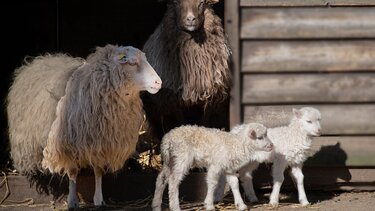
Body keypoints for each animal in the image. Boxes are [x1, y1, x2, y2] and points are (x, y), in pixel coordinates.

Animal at [6, 44, 163, 208]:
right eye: (132, 63)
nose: (159, 82)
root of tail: (38, 60)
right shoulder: (68, 145)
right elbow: (73, 172)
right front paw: (72, 201)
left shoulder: (101, 144)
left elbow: (98, 171)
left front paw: (99, 199)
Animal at [143, 0, 232, 138]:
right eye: (176, 3)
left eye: (201, 3)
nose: (190, 19)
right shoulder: (171, 101)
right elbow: (177, 123)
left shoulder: (212, 97)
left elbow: (206, 122)